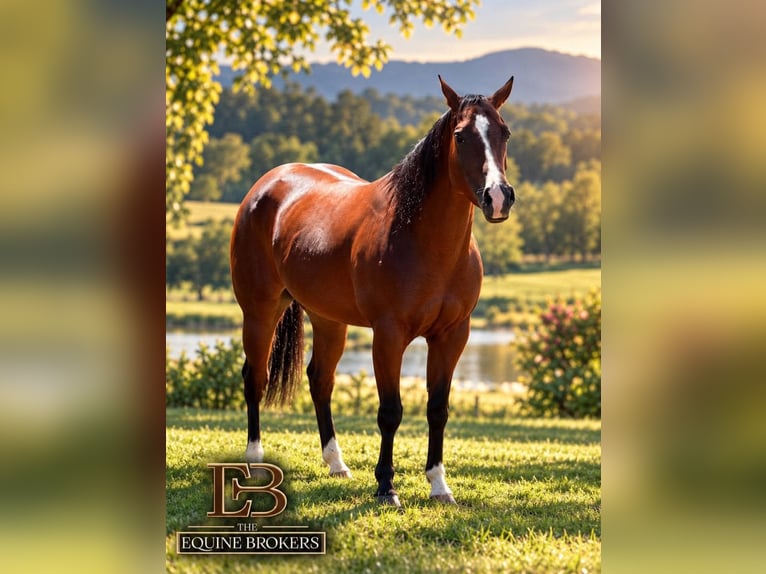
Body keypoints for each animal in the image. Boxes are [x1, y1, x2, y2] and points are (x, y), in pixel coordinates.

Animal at [230, 75, 516, 507]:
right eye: (461, 136)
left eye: (504, 132)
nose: (497, 197)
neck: (421, 239)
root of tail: (265, 186)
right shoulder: (388, 335)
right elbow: (390, 411)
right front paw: (386, 487)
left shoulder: (452, 336)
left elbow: (438, 409)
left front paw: (438, 485)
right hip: (260, 311)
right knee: (255, 379)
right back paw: (255, 462)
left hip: (328, 320)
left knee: (320, 380)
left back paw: (336, 463)